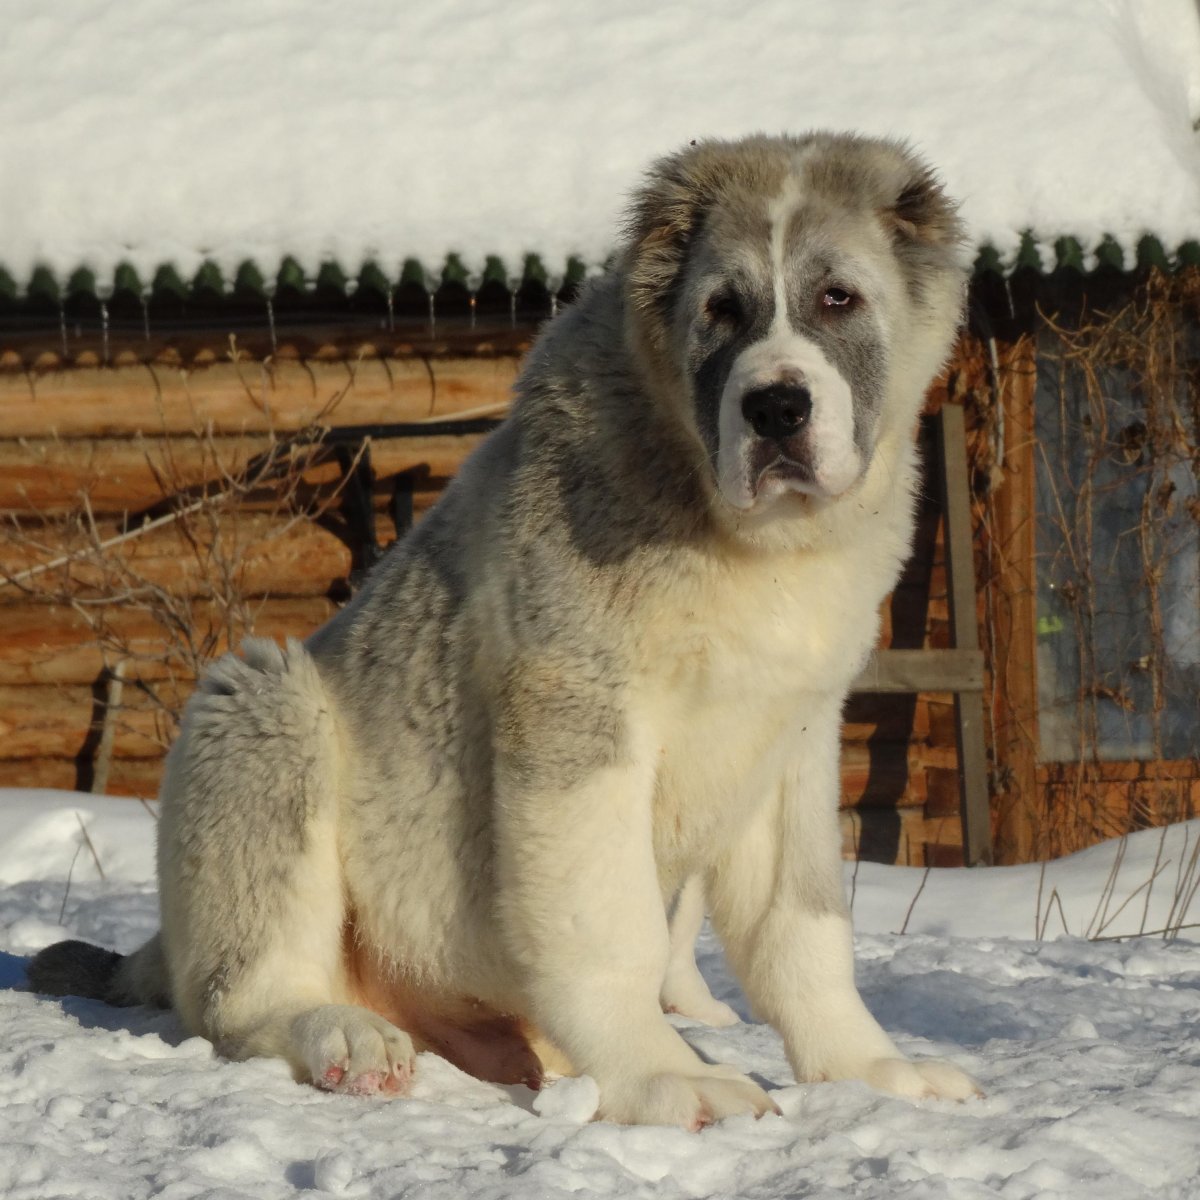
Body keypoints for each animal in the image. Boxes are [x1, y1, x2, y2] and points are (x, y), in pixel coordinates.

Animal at [32, 136, 979, 1128]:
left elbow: (802, 932)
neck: (747, 540)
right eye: (722, 310)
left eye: (838, 298)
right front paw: (662, 1076)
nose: (776, 409)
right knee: (244, 995)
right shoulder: (577, 714)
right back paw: (345, 1039)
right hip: (260, 713)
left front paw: (872, 1070)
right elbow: (613, 931)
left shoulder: (787, 740)